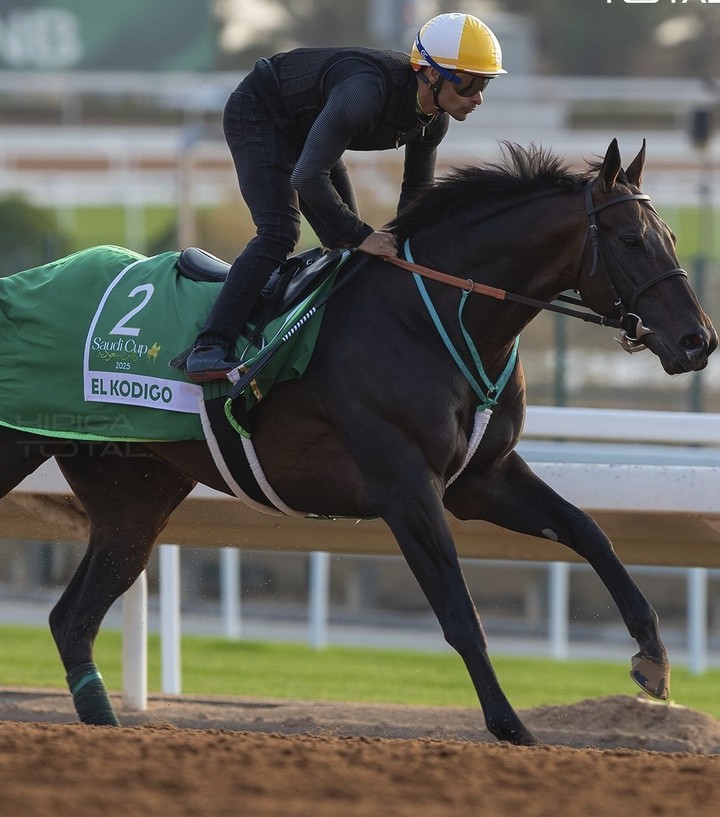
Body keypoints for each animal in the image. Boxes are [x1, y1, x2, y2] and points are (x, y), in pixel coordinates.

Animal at [0, 142, 716, 744]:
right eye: (631, 239)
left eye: (673, 237)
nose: (698, 340)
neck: (432, 316)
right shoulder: (406, 489)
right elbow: (460, 613)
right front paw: (511, 726)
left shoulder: (483, 480)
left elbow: (589, 532)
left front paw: (654, 660)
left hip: (136, 496)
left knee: (72, 618)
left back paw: (105, 726)